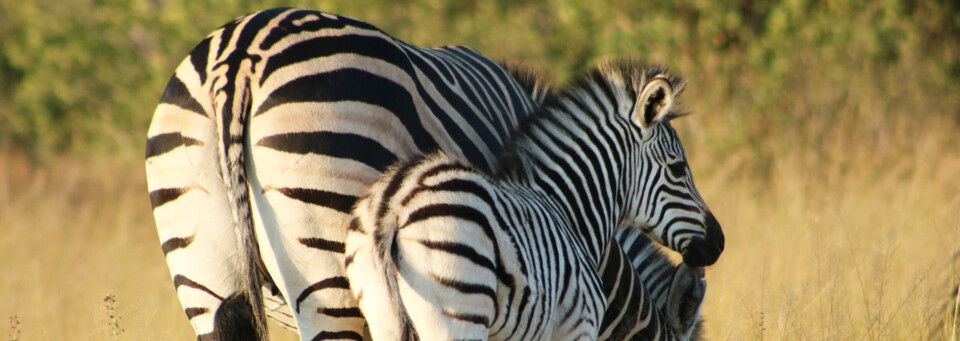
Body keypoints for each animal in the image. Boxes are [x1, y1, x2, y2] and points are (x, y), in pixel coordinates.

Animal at [344, 61, 720, 340]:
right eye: (677, 169)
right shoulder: (578, 326)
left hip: (382, 314)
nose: (719, 242)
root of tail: (393, 203)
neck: (571, 213)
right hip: (456, 312)